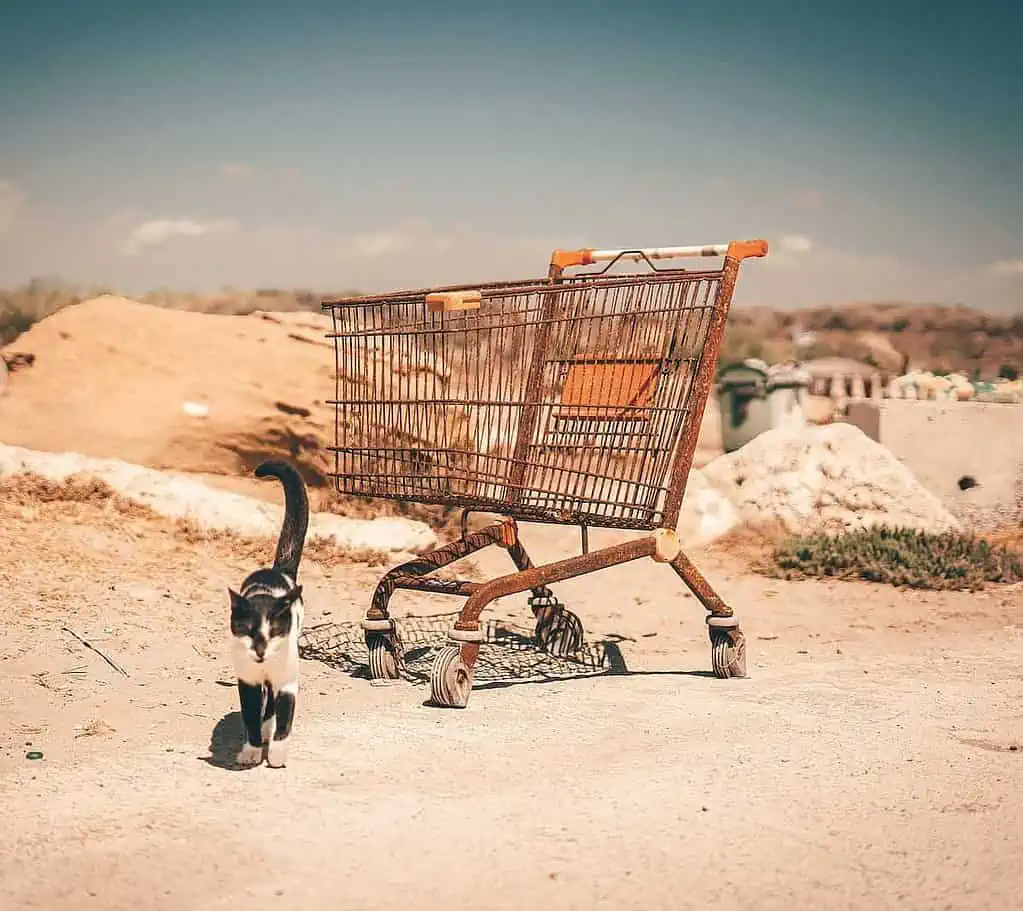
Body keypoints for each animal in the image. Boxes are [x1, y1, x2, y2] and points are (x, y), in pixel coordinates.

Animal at [230, 460, 308, 764]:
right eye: (249, 630)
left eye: (274, 630)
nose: (261, 650)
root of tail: (277, 570)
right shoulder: (248, 681)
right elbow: (250, 716)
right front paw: (251, 752)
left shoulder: (287, 680)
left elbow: (284, 714)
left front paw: (276, 754)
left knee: (274, 704)